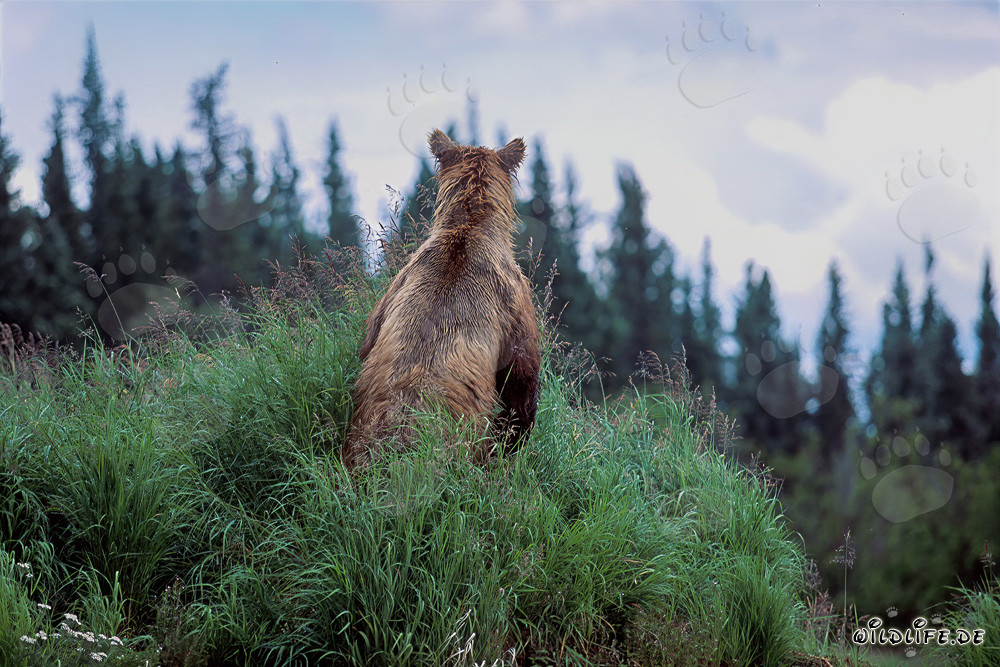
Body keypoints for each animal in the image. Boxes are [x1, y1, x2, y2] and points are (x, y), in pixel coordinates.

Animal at [341, 129, 541, 472]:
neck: (468, 229)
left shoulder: (395, 287)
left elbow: (367, 341)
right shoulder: (514, 302)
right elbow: (522, 380)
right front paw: (515, 440)